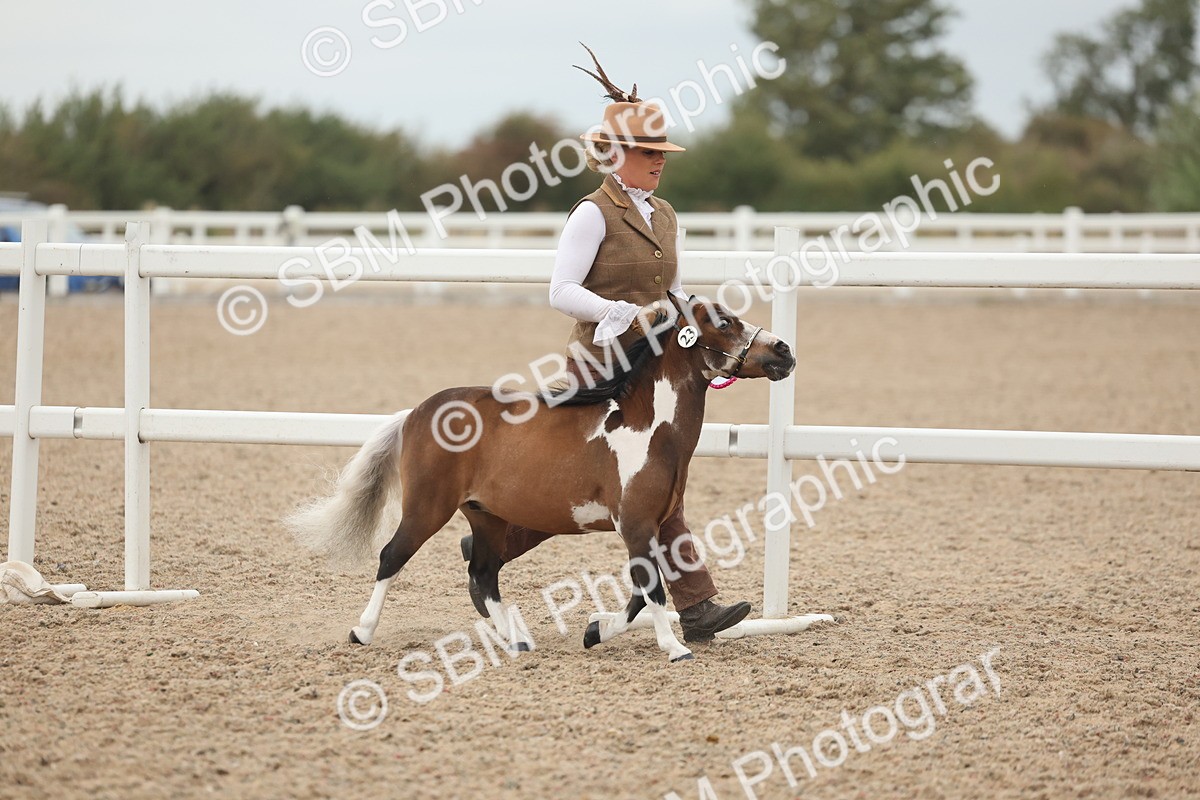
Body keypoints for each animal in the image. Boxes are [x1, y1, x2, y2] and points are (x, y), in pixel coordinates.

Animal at [286, 295, 796, 662]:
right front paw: (673, 649)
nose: (784, 351)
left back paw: (516, 640)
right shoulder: (634, 525)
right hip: (427, 508)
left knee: (483, 572)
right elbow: (649, 588)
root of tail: (417, 412)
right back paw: (361, 631)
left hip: (485, 516)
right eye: (724, 322)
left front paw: (595, 630)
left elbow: (639, 592)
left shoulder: (651, 525)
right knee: (393, 557)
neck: (647, 429)